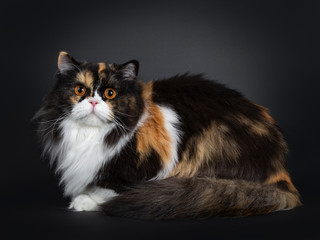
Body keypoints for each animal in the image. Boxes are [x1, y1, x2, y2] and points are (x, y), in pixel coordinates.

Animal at [36, 51, 302, 220]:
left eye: (110, 93)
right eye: (80, 90)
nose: (93, 101)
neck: (91, 135)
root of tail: (282, 172)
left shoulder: (148, 162)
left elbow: (109, 186)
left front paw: (86, 200)